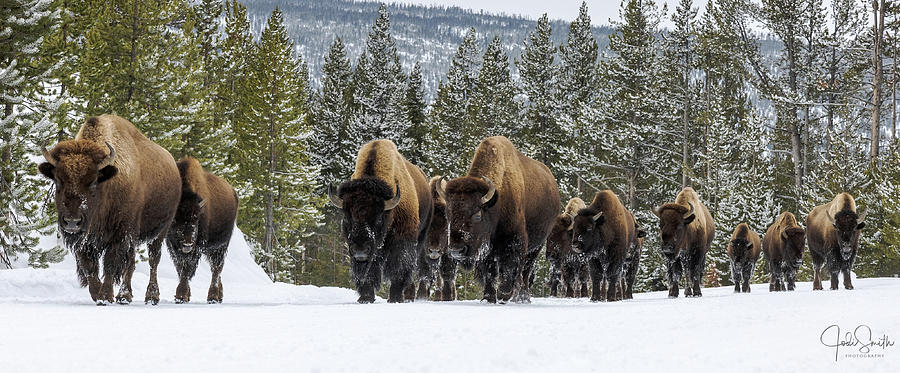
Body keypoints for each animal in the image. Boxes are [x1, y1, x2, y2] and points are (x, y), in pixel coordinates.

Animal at [37, 115, 180, 304]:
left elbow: (111, 264)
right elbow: (89, 267)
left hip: (160, 231)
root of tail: (173, 164)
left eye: (93, 182)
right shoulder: (86, 240)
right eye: (58, 181)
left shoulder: (120, 234)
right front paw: (97, 294)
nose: (72, 222)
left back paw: (151, 296)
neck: (108, 185)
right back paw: (124, 296)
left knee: (153, 260)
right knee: (131, 262)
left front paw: (105, 297)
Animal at [164, 157, 237, 302]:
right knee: (216, 269)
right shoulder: (173, 247)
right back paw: (219, 295)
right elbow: (180, 268)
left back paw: (213, 297)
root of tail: (233, 192)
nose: (187, 244)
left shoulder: (197, 246)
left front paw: (181, 295)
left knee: (216, 269)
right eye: (174, 219)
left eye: (196, 218)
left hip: (221, 246)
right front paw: (185, 295)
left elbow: (186, 268)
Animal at [326, 140, 432, 302]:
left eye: (378, 217)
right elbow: (370, 270)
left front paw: (395, 298)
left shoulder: (402, 239)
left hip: (422, 236)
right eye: (346, 217)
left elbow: (399, 267)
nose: (360, 252)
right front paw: (366, 297)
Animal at [434, 137, 556, 302]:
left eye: (477, 215)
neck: (497, 201)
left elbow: (509, 268)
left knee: (526, 270)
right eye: (448, 214)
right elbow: (490, 272)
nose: (456, 250)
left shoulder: (513, 240)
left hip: (537, 245)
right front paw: (489, 297)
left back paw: (522, 297)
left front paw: (504, 294)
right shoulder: (487, 248)